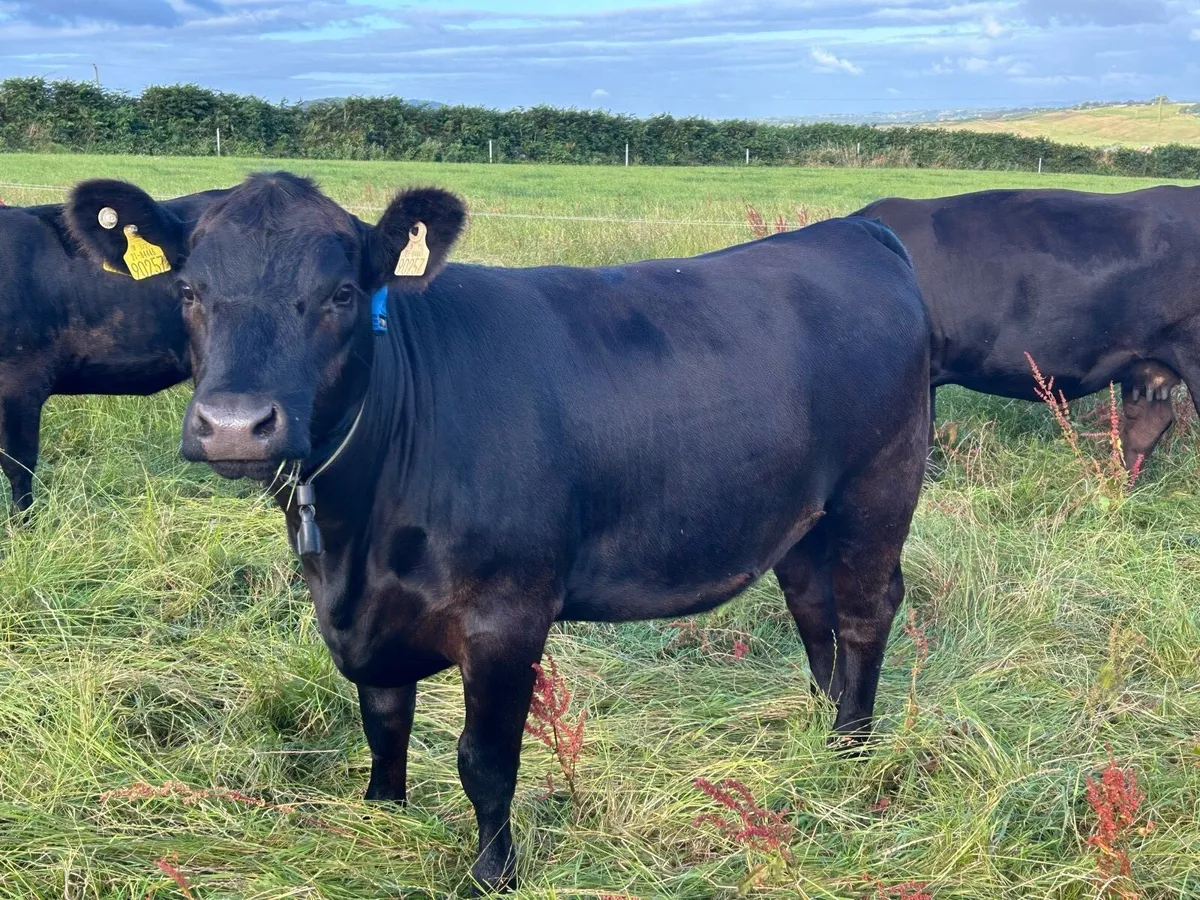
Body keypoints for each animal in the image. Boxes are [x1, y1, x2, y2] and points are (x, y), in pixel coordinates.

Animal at [67, 172, 931, 892]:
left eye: (342, 293)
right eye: (188, 289)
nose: (235, 425)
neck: (354, 542)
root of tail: (853, 232)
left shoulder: (506, 614)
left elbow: (485, 761)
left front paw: (492, 873)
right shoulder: (368, 619)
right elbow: (383, 723)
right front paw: (382, 813)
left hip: (878, 490)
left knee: (865, 613)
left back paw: (852, 751)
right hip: (803, 519)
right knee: (814, 612)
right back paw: (820, 731)